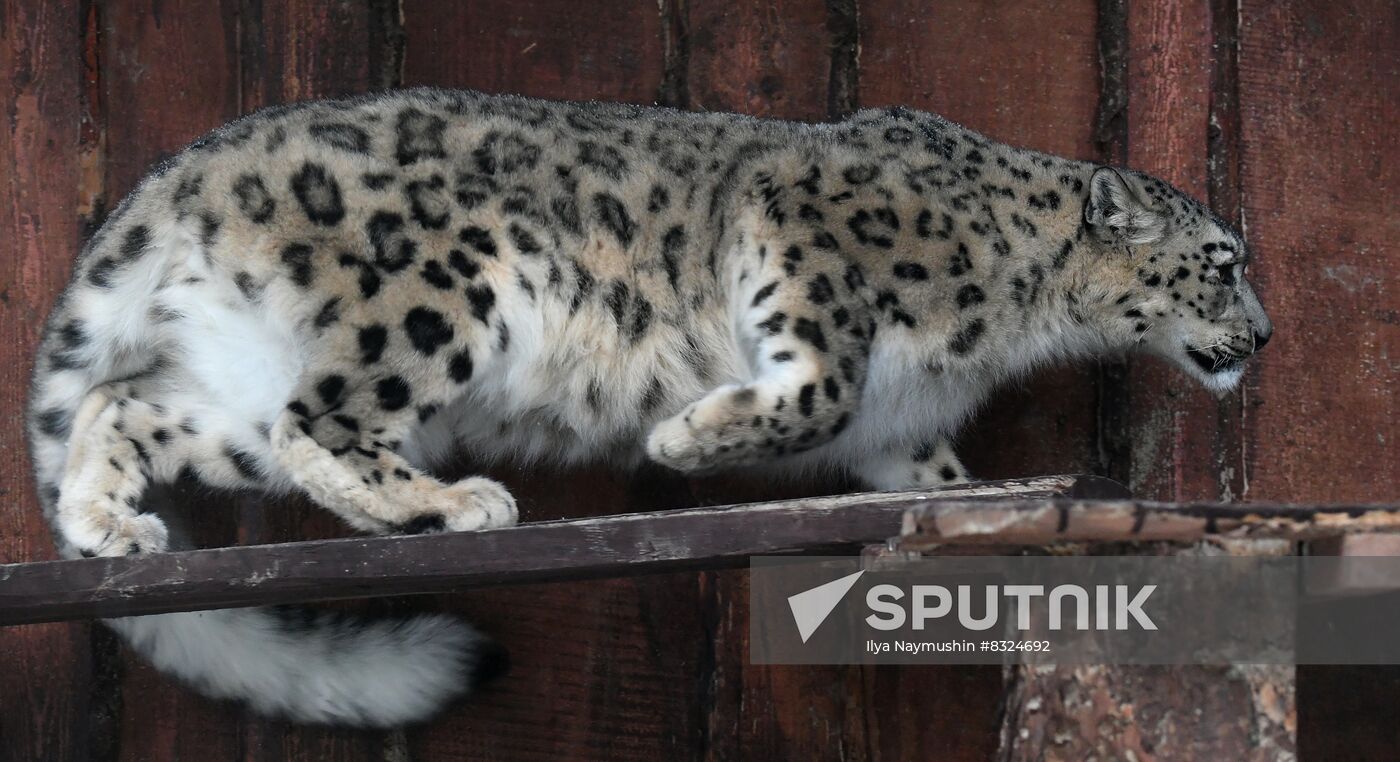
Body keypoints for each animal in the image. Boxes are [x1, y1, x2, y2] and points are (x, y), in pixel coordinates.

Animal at [24, 88, 1272, 727]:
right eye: (1220, 264)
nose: (1261, 336)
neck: (1008, 320)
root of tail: (188, 168)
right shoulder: (803, 235)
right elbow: (817, 382)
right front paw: (688, 431)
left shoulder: (903, 427)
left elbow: (912, 463)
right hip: (429, 294)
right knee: (319, 421)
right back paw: (452, 503)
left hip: (231, 385)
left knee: (128, 406)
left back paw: (107, 523)